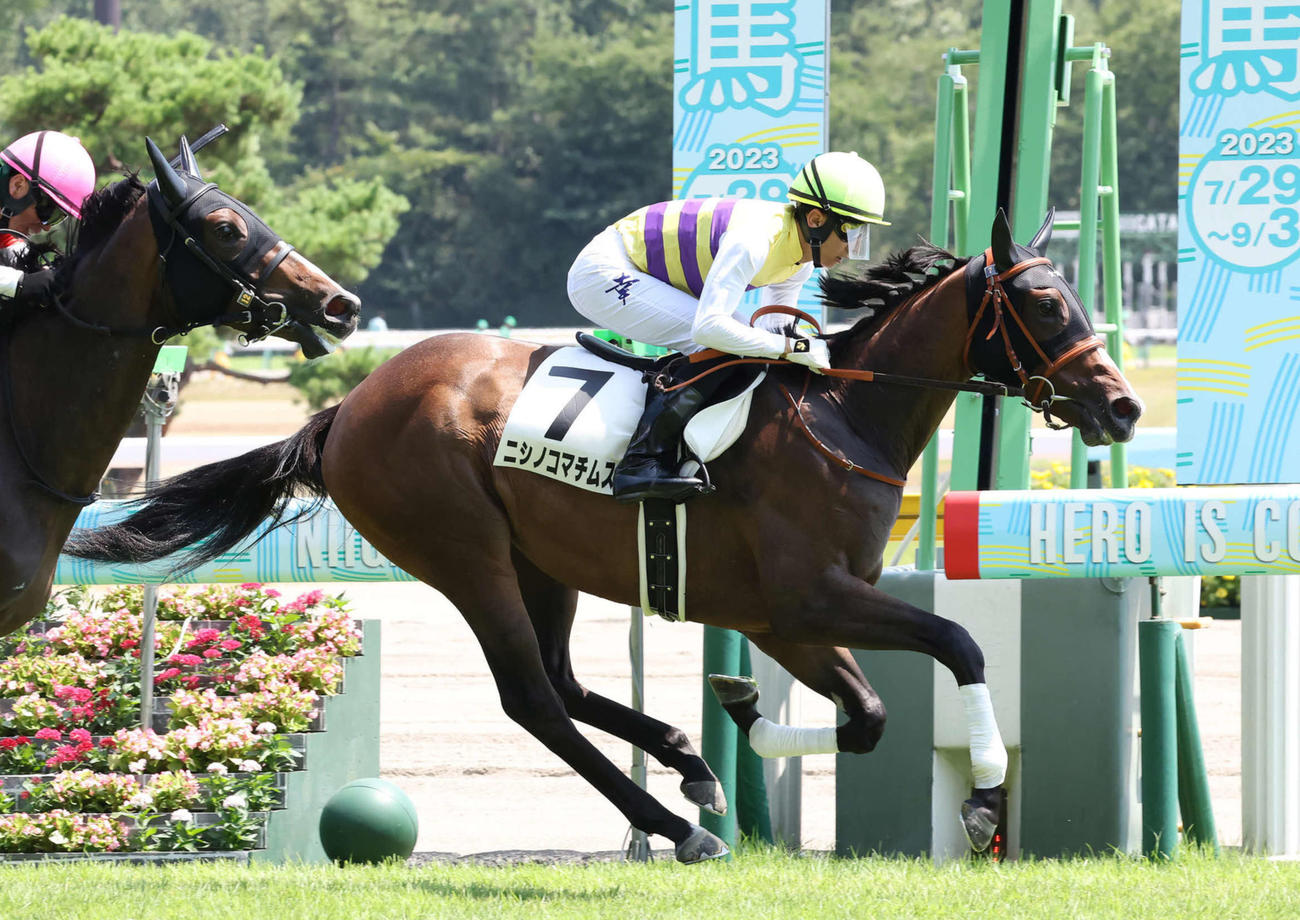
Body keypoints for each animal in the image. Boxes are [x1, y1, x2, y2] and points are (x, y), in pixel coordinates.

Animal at [64, 208, 1141, 863]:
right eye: (1044, 302)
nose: (1124, 407)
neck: (843, 415)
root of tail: (346, 409)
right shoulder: (810, 596)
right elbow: (956, 644)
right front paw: (984, 799)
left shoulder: (792, 616)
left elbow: (867, 713)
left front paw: (742, 714)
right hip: (465, 554)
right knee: (534, 698)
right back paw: (678, 821)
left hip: (544, 562)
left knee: (567, 683)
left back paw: (689, 765)